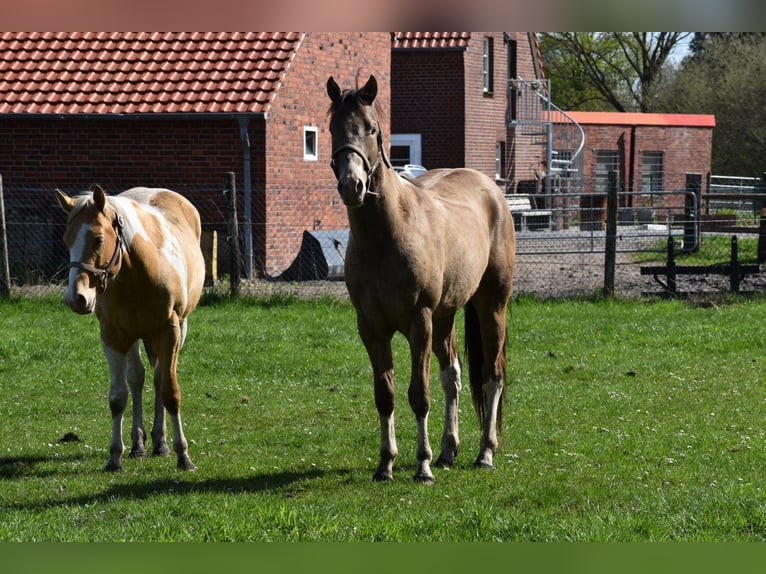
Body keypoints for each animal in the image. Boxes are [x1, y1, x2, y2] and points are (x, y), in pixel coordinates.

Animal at [56, 184, 206, 472]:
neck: (138, 273)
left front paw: (184, 455)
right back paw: (139, 445)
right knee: (137, 377)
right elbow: (118, 397)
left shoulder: (169, 331)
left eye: (98, 239)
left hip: (176, 329)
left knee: (159, 378)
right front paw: (115, 456)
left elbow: (170, 392)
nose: (76, 298)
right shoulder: (112, 336)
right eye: (66, 241)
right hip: (135, 336)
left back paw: (161, 443)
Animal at [327, 75, 516, 483]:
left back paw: (485, 453)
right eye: (334, 129)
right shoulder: (371, 327)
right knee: (453, 376)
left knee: (492, 375)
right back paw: (449, 449)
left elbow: (419, 394)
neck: (388, 234)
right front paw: (386, 463)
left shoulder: (420, 322)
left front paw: (423, 465)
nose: (352, 185)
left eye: (372, 128)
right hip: (446, 316)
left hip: (491, 306)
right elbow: (386, 395)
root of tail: (491, 188)